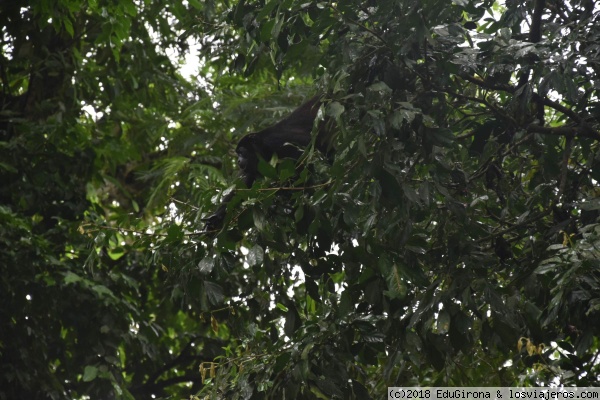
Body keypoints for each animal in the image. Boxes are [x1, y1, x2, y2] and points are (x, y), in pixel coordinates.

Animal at [204, 95, 336, 231]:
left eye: (241, 152)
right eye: (238, 154)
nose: (238, 160)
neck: (263, 148)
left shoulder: (277, 143)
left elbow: (305, 156)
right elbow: (243, 185)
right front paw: (216, 217)